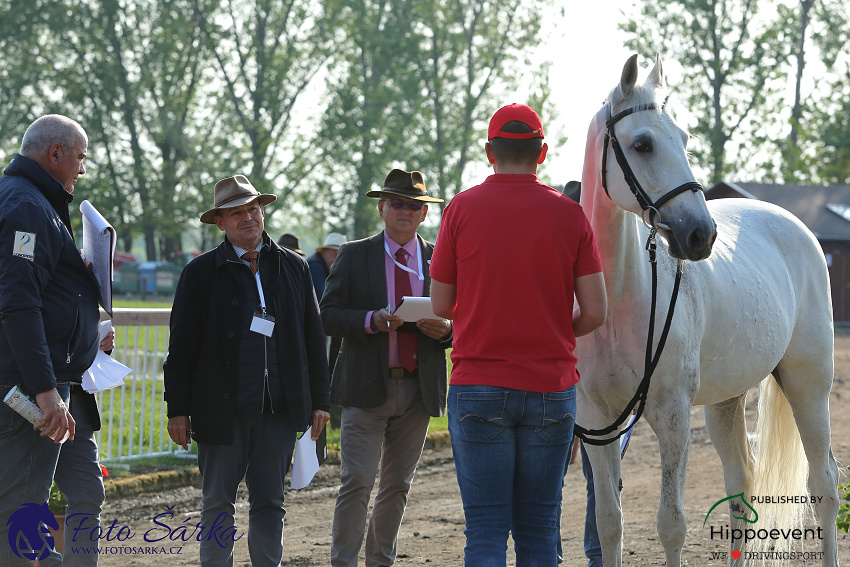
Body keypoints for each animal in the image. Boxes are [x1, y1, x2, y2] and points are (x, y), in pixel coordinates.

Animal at [572, 53, 840, 567]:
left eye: (684, 138)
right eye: (642, 143)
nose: (701, 235)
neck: (620, 299)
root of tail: (797, 228)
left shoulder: (673, 413)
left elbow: (671, 525)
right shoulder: (596, 419)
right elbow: (609, 522)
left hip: (808, 384)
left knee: (825, 486)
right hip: (725, 402)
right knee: (742, 485)